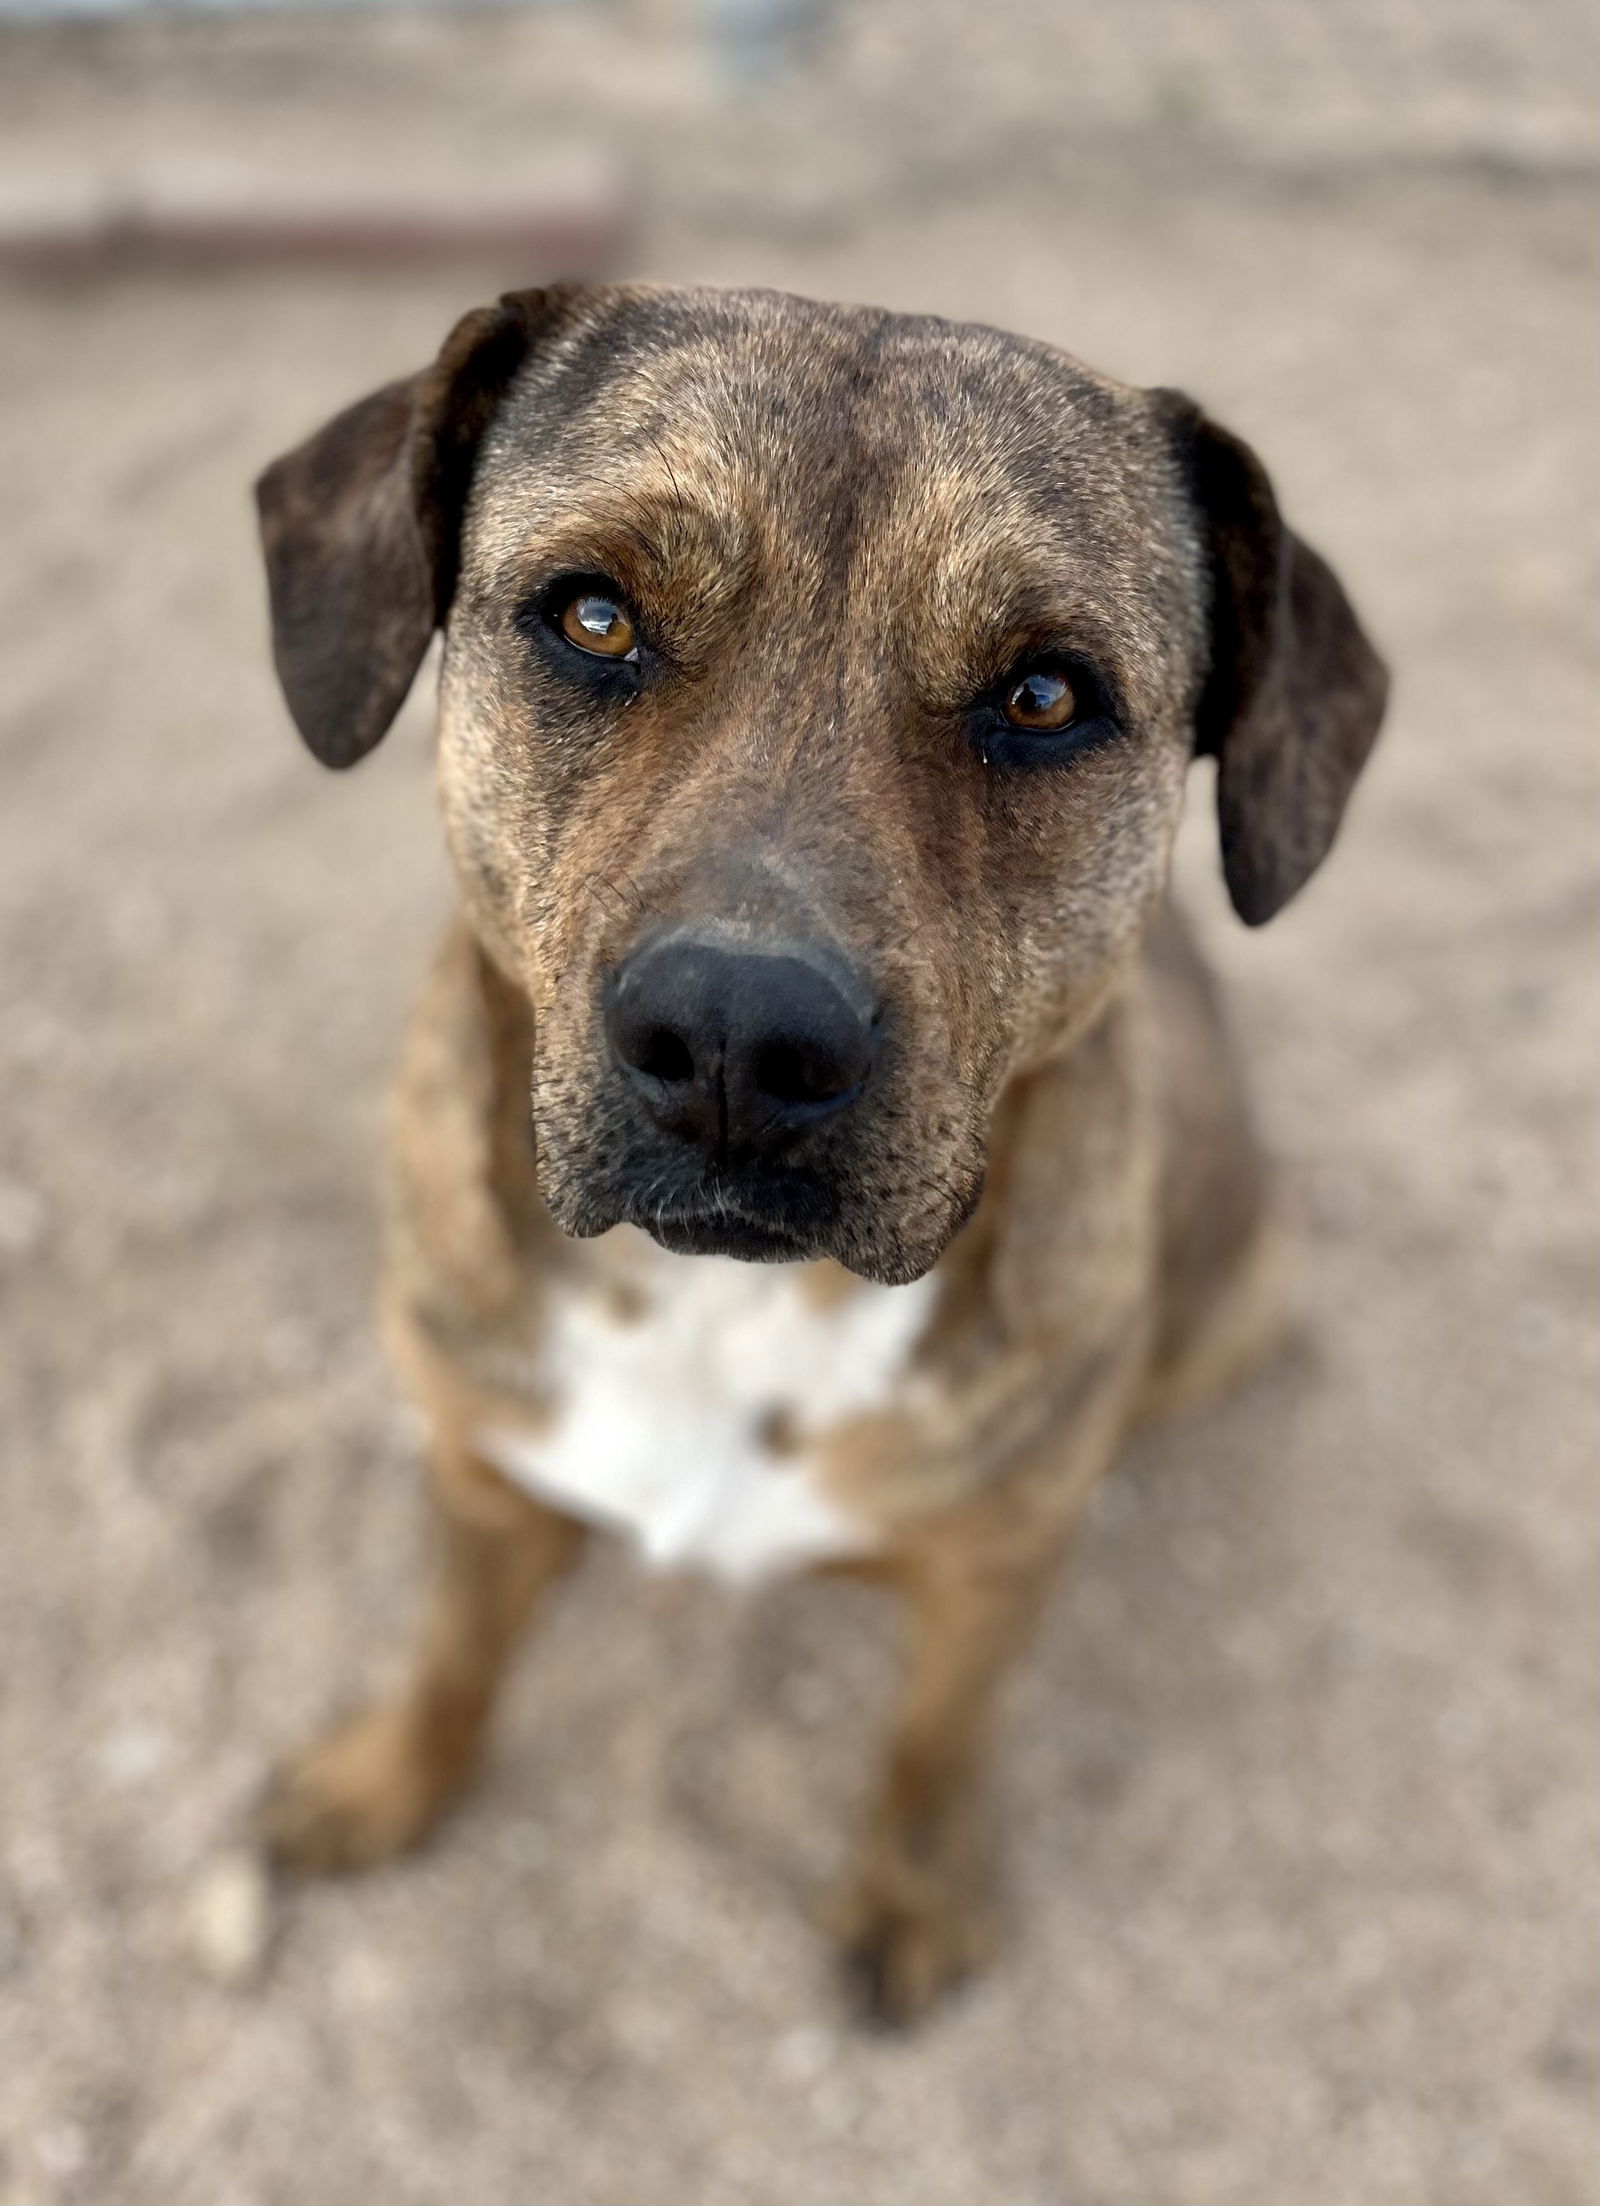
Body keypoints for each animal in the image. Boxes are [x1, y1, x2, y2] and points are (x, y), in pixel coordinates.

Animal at [256, 284, 1377, 2020]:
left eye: (1045, 695)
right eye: (593, 617)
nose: (734, 1037)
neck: (721, 1310)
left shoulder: (991, 1576)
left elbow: (934, 1742)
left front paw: (911, 1896)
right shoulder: (482, 1471)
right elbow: (449, 1652)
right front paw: (383, 1778)